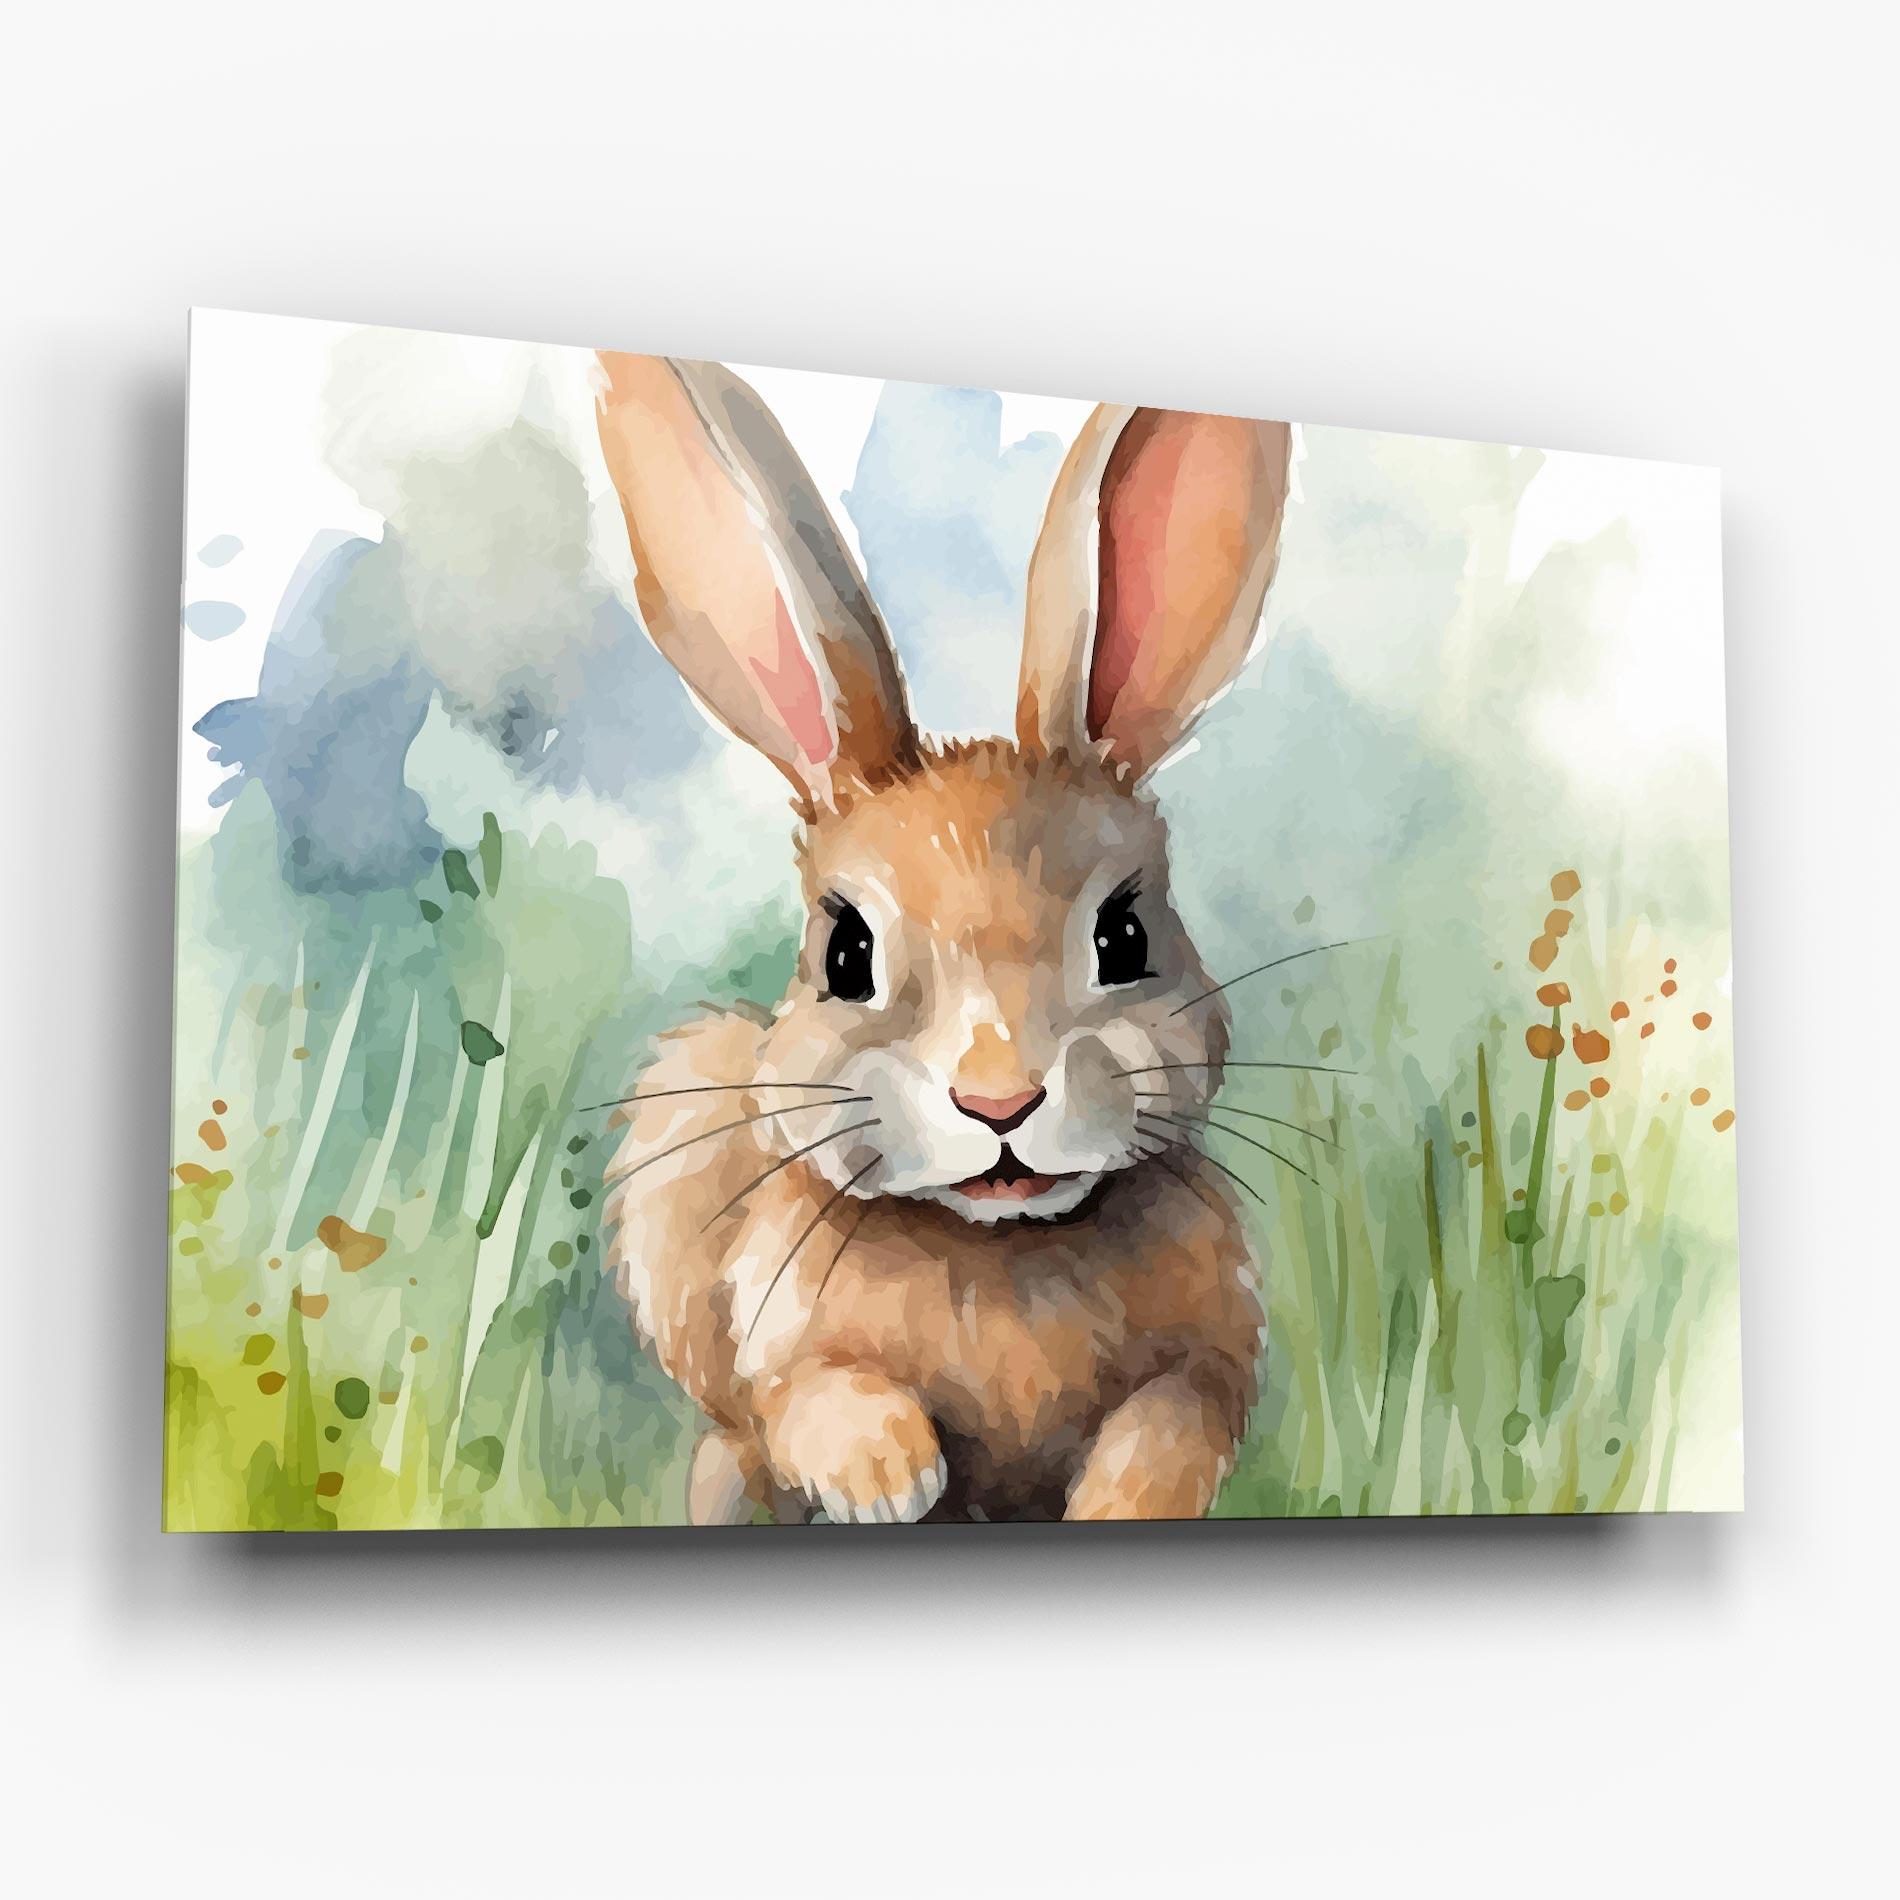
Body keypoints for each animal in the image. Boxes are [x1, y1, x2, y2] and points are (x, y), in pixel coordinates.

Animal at [594, 352, 1292, 1523]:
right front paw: (888, 1474)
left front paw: (1119, 1504)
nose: (999, 1101)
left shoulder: (1210, 1360)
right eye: (846, 956)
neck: (997, 1241)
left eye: (1125, 937)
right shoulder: (781, 1355)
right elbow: (811, 1395)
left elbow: (1178, 1420)